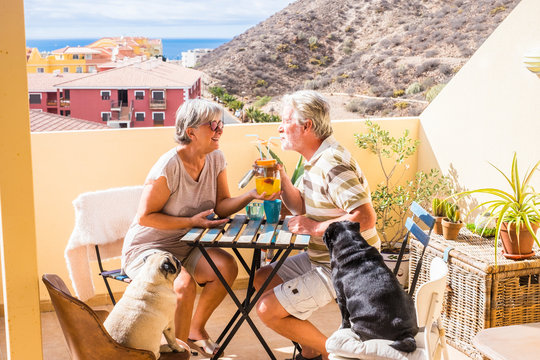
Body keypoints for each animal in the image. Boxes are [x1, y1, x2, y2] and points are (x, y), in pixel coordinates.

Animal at [322, 219, 420, 352]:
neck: (351, 246)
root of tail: (405, 333)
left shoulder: (341, 296)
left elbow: (344, 318)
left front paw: (343, 327)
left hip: (359, 323)